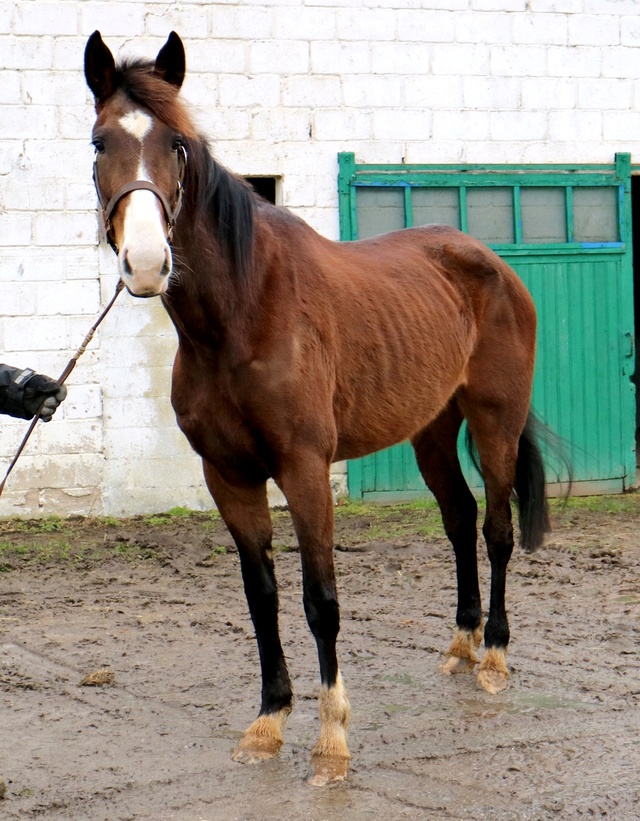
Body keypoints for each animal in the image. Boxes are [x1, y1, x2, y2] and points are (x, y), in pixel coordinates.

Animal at [84, 33, 552, 788]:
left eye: (178, 145)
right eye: (100, 143)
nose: (148, 261)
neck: (242, 313)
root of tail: (491, 262)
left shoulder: (305, 470)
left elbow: (320, 600)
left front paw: (332, 740)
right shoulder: (229, 476)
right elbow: (262, 595)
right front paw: (269, 721)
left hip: (494, 423)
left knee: (497, 530)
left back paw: (495, 658)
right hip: (431, 431)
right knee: (457, 521)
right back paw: (461, 643)